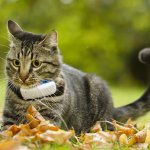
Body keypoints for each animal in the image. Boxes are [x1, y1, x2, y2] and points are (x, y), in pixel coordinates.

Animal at [2, 19, 150, 134]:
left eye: (36, 63)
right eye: (16, 62)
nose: (23, 76)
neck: (30, 97)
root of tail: (112, 110)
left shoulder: (49, 118)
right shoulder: (9, 116)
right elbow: (7, 132)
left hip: (98, 90)